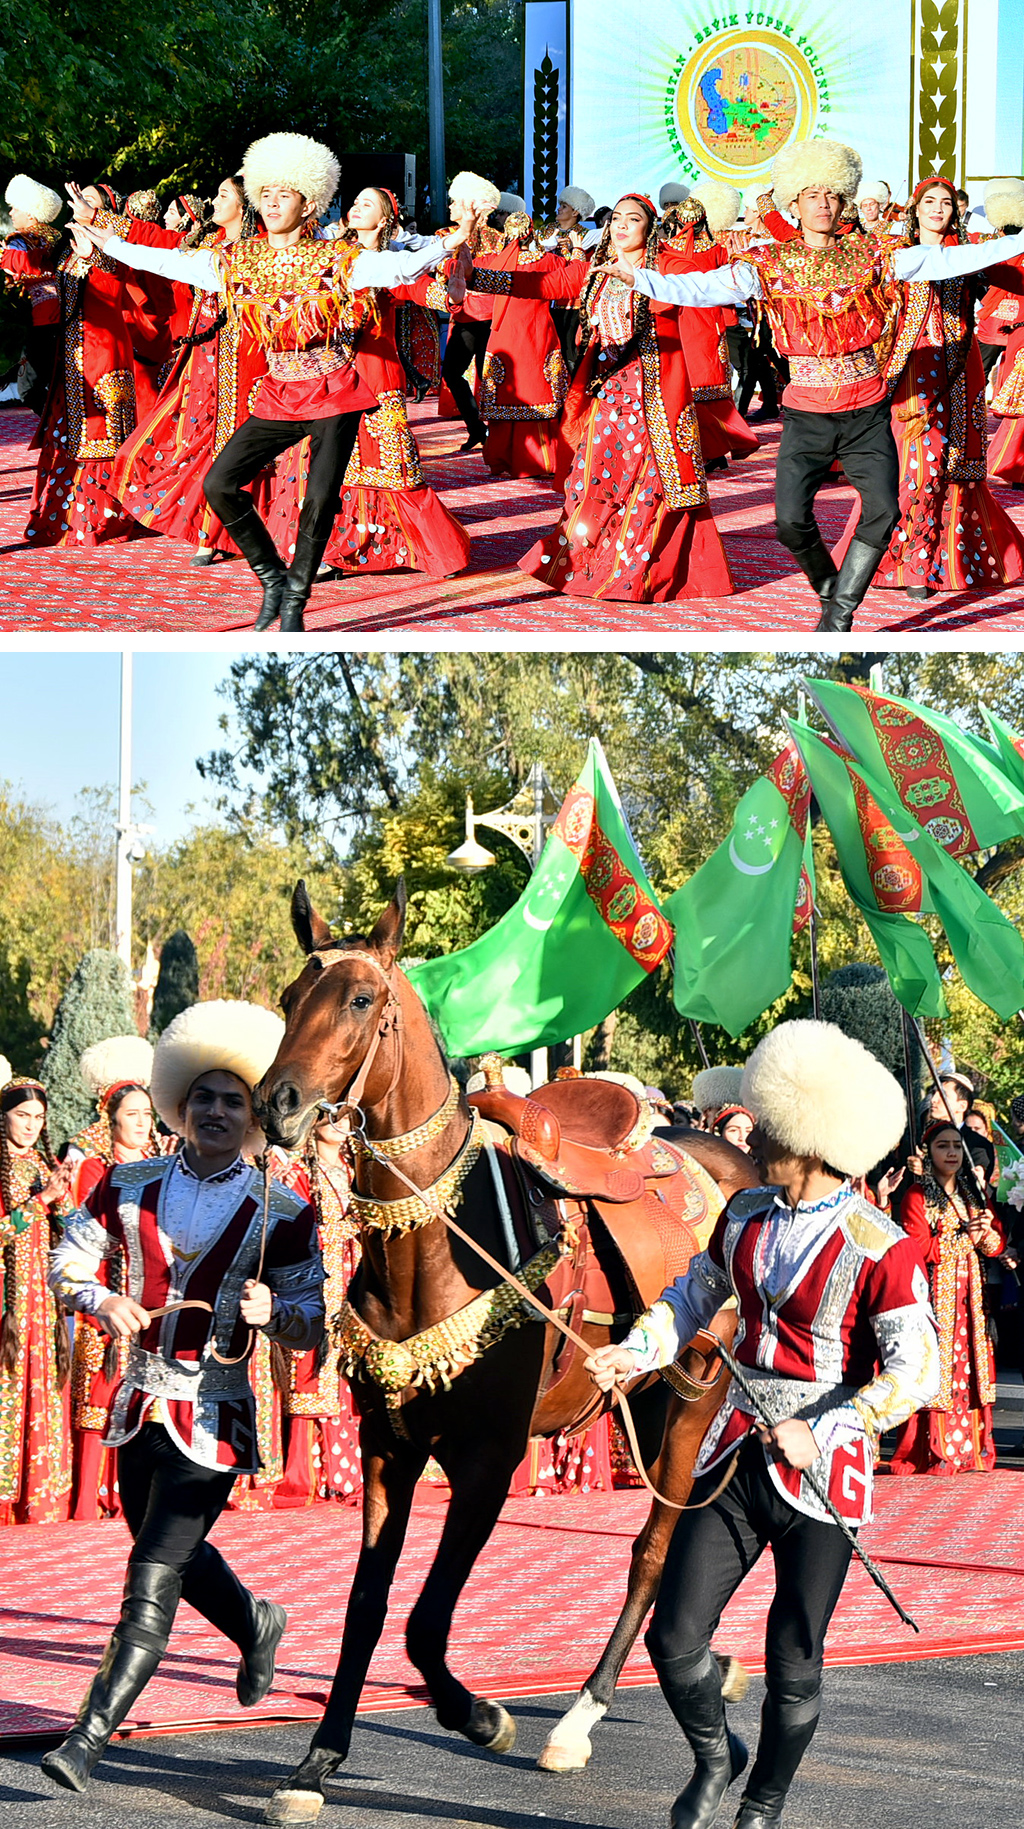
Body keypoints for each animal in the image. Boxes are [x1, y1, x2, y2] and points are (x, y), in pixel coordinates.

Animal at [252, 877, 757, 1821]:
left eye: (362, 999)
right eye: (291, 995)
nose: (276, 1102)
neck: (433, 1243)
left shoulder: (487, 1460)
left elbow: (423, 1624)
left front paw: (482, 1715)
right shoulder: (387, 1449)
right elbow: (368, 1605)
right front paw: (318, 1758)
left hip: (691, 1406)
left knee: (650, 1554)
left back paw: (583, 1715)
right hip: (650, 1406)